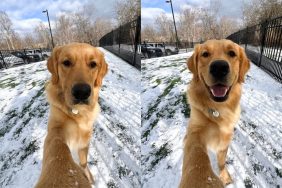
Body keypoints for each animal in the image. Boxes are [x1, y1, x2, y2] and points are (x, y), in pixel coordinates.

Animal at [36, 43, 108, 188]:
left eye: (93, 64)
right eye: (66, 62)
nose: (82, 92)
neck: (78, 112)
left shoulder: (85, 138)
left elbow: (84, 162)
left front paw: (87, 175)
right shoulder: (56, 129)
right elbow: (57, 146)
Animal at [180, 39, 250, 187]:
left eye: (232, 53)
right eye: (205, 54)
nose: (219, 67)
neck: (218, 108)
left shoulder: (226, 137)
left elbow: (222, 161)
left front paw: (224, 176)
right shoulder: (195, 131)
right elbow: (196, 155)